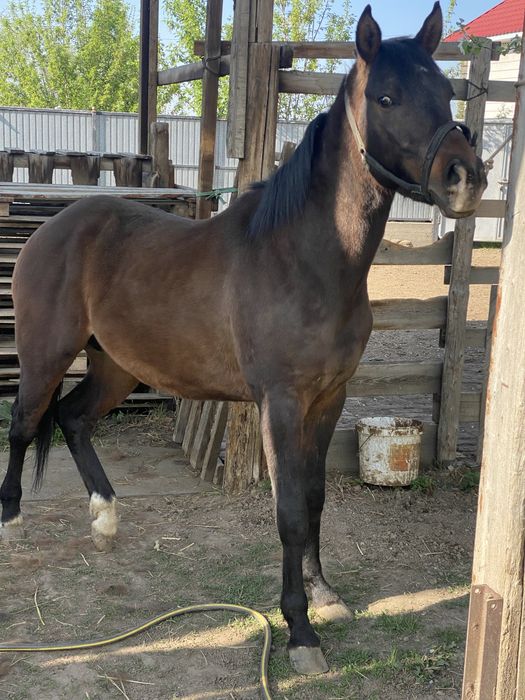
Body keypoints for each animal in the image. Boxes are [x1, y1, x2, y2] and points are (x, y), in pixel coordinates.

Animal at [0, 2, 486, 674]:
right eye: (386, 97)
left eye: (444, 91)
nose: (466, 178)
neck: (304, 258)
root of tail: (54, 229)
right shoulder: (279, 404)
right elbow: (288, 512)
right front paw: (301, 633)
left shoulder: (329, 399)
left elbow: (314, 500)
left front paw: (325, 595)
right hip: (47, 355)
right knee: (24, 425)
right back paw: (13, 522)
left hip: (116, 367)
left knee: (72, 419)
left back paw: (105, 518)